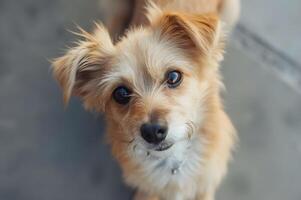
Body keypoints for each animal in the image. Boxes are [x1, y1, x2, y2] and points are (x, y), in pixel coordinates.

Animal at [52, 0, 239, 199]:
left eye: (174, 76)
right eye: (120, 93)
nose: (153, 132)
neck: (172, 162)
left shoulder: (206, 185)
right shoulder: (147, 190)